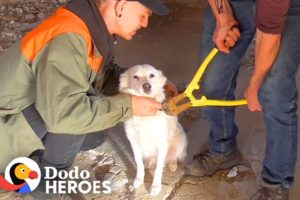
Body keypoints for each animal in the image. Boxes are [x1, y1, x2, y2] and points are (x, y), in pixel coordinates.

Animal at [119, 64, 188, 195]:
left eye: (152, 75)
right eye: (135, 76)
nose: (147, 85)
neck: (145, 117)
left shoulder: (162, 144)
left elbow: (158, 168)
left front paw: (156, 186)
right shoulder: (133, 142)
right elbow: (138, 162)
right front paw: (139, 179)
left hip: (181, 140)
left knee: (174, 157)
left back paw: (173, 164)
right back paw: (149, 162)